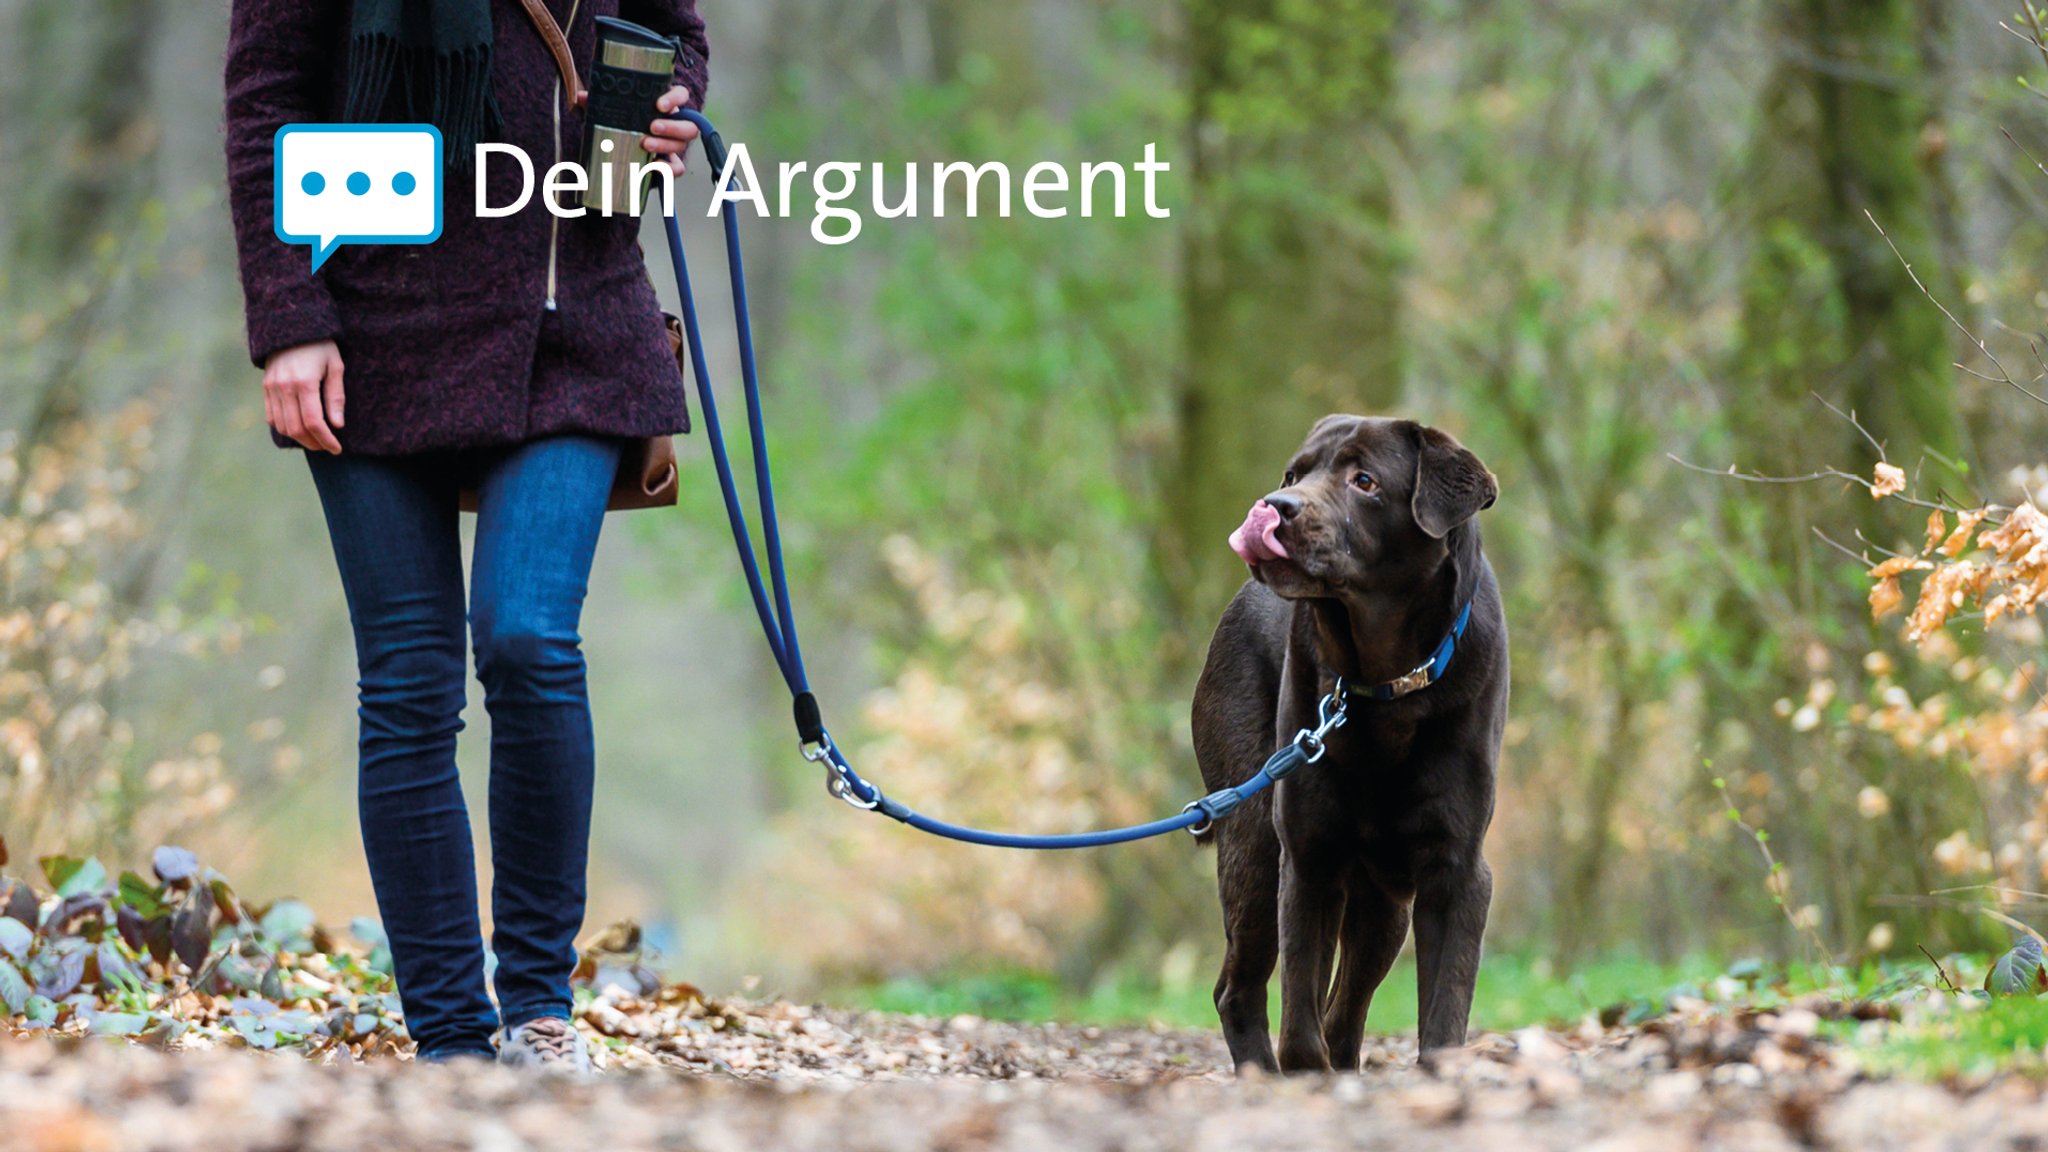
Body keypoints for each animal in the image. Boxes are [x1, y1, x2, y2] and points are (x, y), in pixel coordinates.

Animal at [1187, 412, 1507, 1065]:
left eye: (1365, 481)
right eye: (1294, 474)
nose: (1274, 505)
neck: (1387, 683)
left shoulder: (1457, 869)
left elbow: (1443, 1013)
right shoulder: (1308, 855)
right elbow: (1300, 1022)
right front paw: (1303, 1072)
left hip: (1384, 901)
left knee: (1345, 1008)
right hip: (1255, 842)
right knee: (1241, 989)